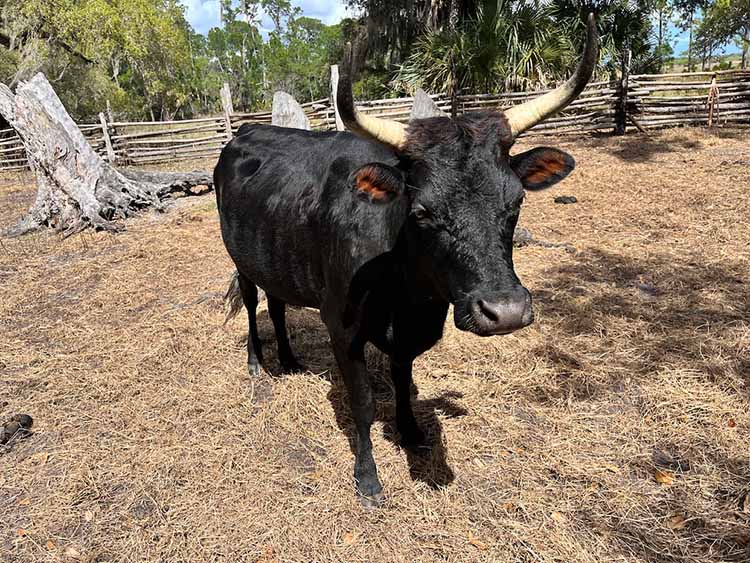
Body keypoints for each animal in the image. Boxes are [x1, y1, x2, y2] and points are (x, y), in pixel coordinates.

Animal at [215, 16, 598, 508]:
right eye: (421, 211)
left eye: (516, 202)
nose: (506, 311)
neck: (407, 293)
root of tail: (246, 131)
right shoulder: (342, 328)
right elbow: (361, 404)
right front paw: (367, 478)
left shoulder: (411, 334)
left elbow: (402, 380)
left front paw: (412, 432)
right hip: (240, 258)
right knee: (251, 303)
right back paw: (257, 364)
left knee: (278, 305)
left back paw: (289, 359)